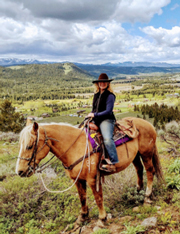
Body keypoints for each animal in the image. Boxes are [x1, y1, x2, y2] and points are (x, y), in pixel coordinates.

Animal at [16, 118, 164, 222]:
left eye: (29, 146)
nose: (20, 172)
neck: (76, 146)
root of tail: (148, 124)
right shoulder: (77, 180)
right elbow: (82, 198)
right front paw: (82, 217)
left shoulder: (92, 179)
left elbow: (98, 198)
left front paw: (102, 218)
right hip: (135, 155)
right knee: (139, 169)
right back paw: (137, 191)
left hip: (146, 154)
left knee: (150, 172)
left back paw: (147, 196)